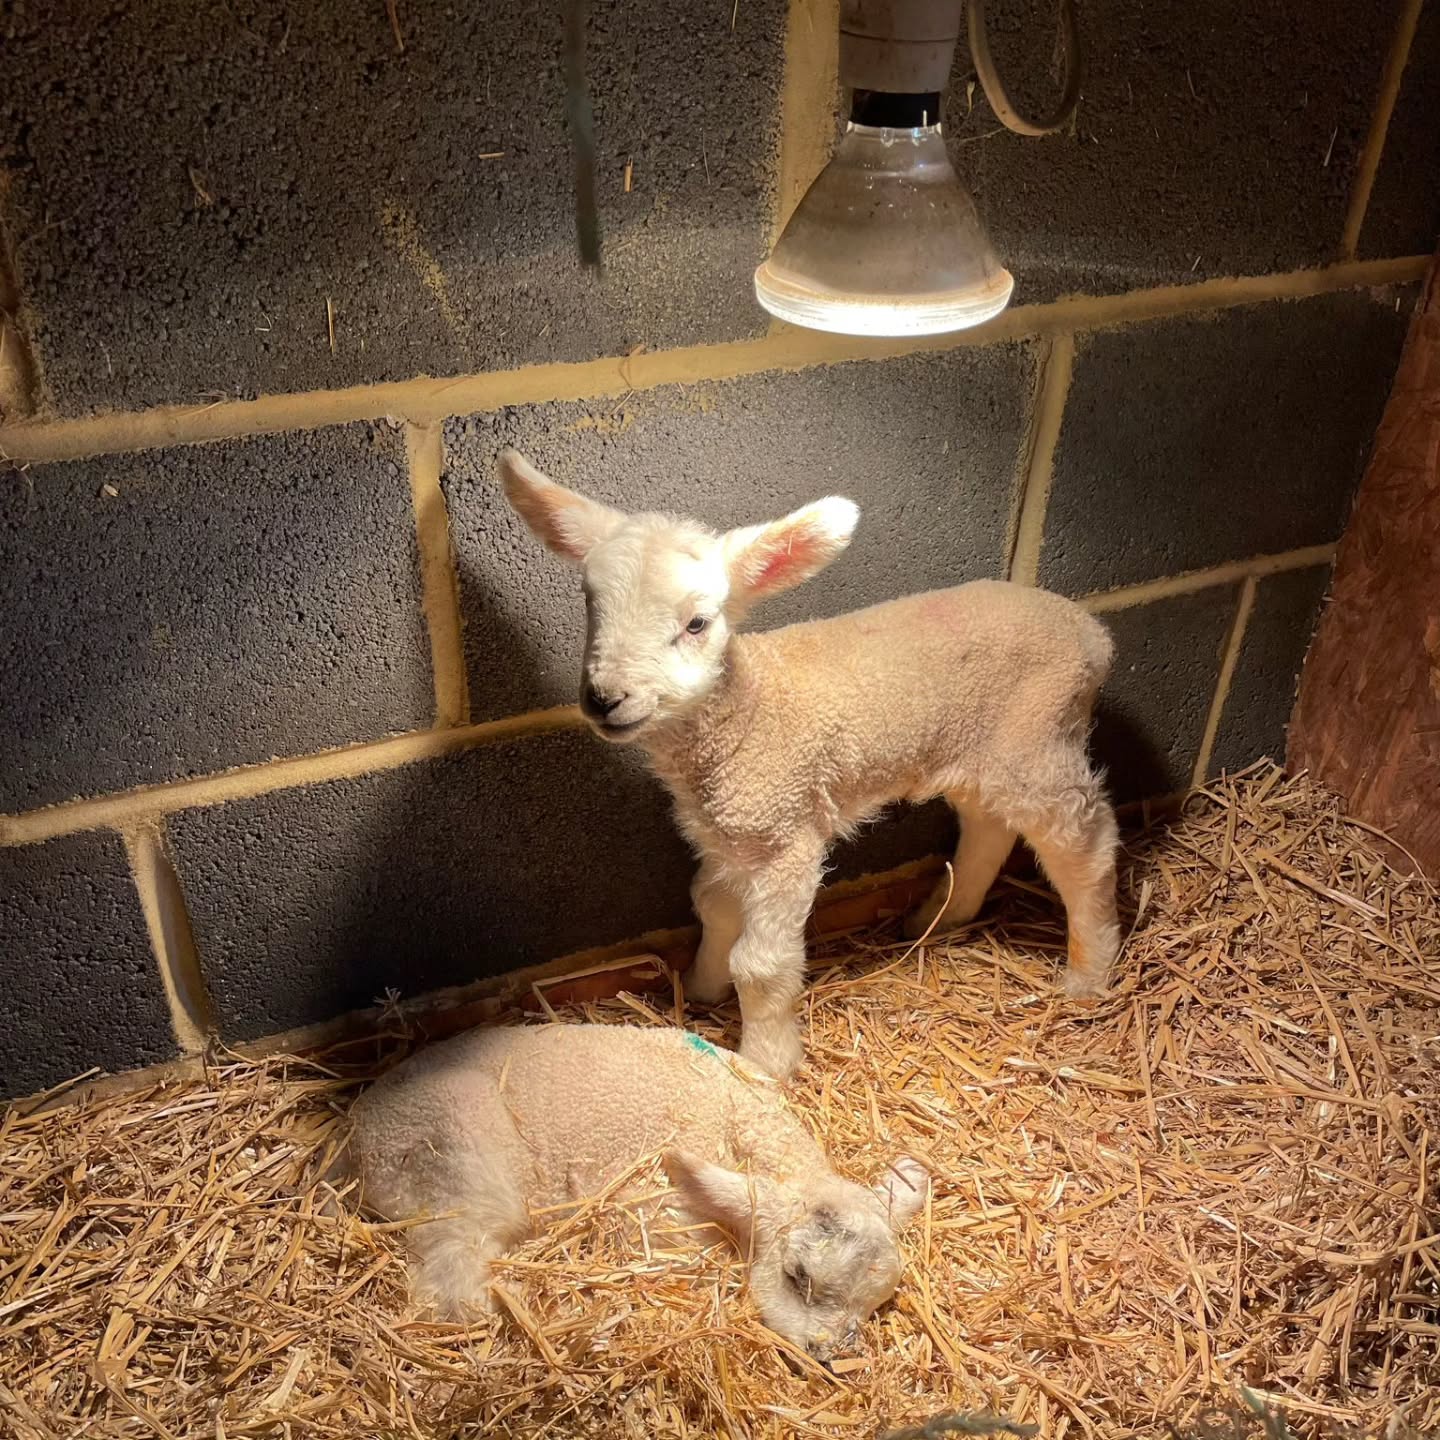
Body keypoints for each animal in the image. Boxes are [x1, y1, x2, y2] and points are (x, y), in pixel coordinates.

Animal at [343, 1022, 930, 1362]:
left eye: (873, 1303)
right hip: (451, 1157)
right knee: (452, 1280)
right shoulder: (655, 1214)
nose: (826, 1353)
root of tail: (352, 1137)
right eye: (796, 1276)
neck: (747, 1125)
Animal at [498, 450, 1121, 1081]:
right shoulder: (729, 836)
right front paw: (701, 988)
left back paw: (1090, 971)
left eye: (697, 623)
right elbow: (712, 908)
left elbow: (760, 965)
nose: (605, 698)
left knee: (1085, 844)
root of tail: (1091, 631)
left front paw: (765, 1063)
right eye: (591, 606)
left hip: (1038, 739)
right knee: (989, 828)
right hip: (981, 749)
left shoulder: (785, 838)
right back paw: (940, 919)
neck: (743, 713)